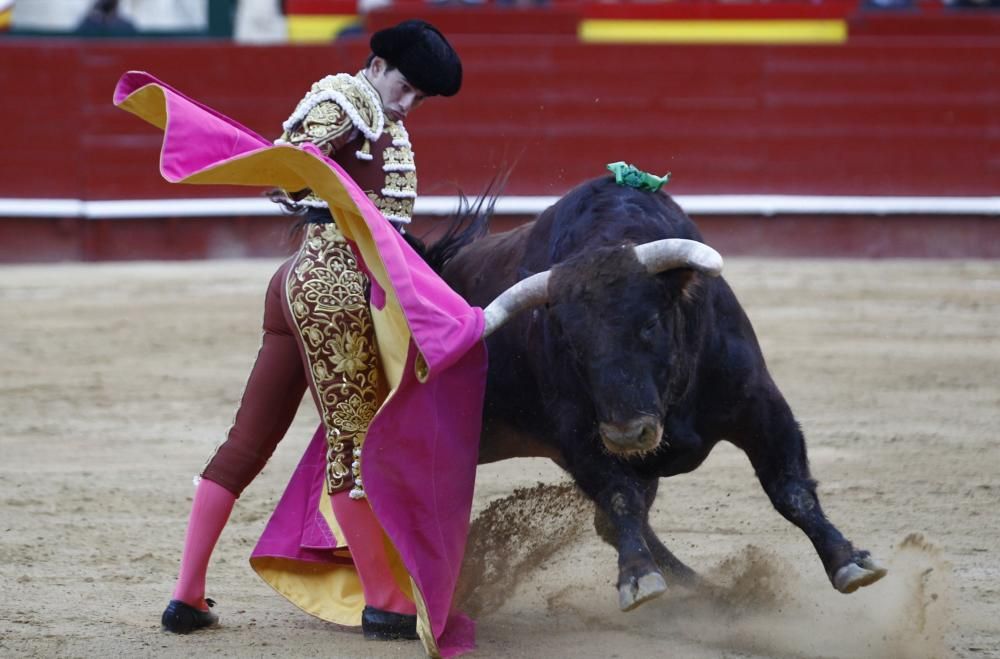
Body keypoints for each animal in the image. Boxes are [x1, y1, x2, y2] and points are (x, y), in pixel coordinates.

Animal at [428, 177, 884, 612]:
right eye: (572, 343)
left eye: (648, 323)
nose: (629, 436)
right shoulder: (580, 439)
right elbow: (620, 499)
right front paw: (637, 577)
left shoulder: (760, 404)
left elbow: (790, 488)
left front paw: (849, 561)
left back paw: (716, 592)